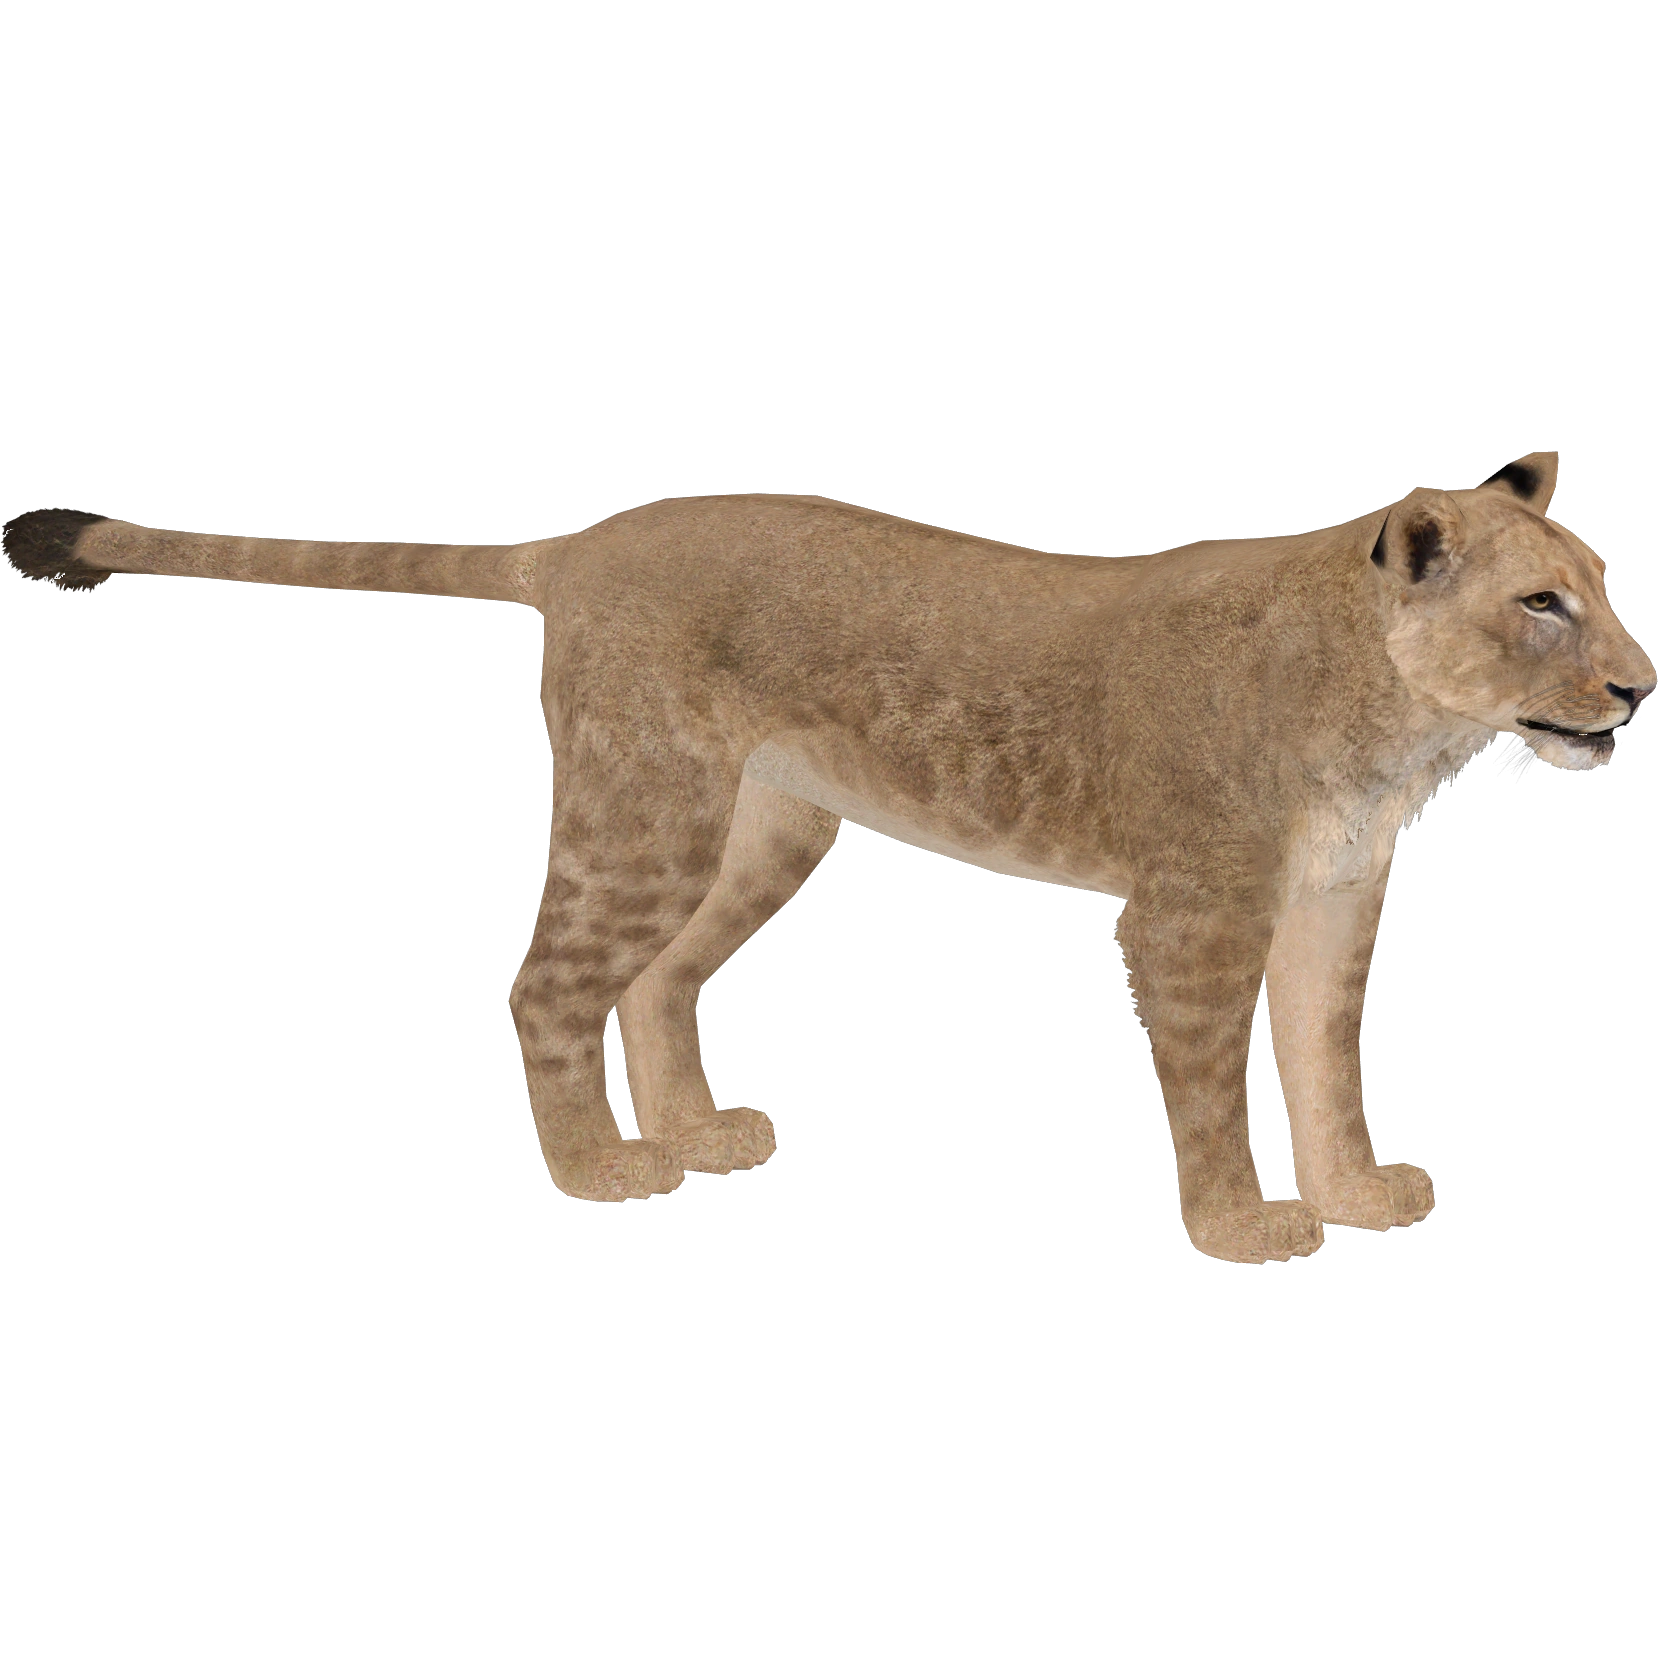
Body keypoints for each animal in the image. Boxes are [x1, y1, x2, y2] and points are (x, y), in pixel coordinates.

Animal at [5, 455, 1656, 1261]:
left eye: (1601, 582)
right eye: (1541, 605)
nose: (1641, 691)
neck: (1389, 727)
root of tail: (582, 543)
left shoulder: (1330, 896)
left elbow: (1322, 1058)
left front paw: (1357, 1187)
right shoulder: (1193, 909)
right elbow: (1210, 1080)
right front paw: (1241, 1225)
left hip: (759, 822)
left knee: (655, 979)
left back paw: (695, 1134)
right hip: (648, 801)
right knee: (546, 983)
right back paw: (601, 1165)